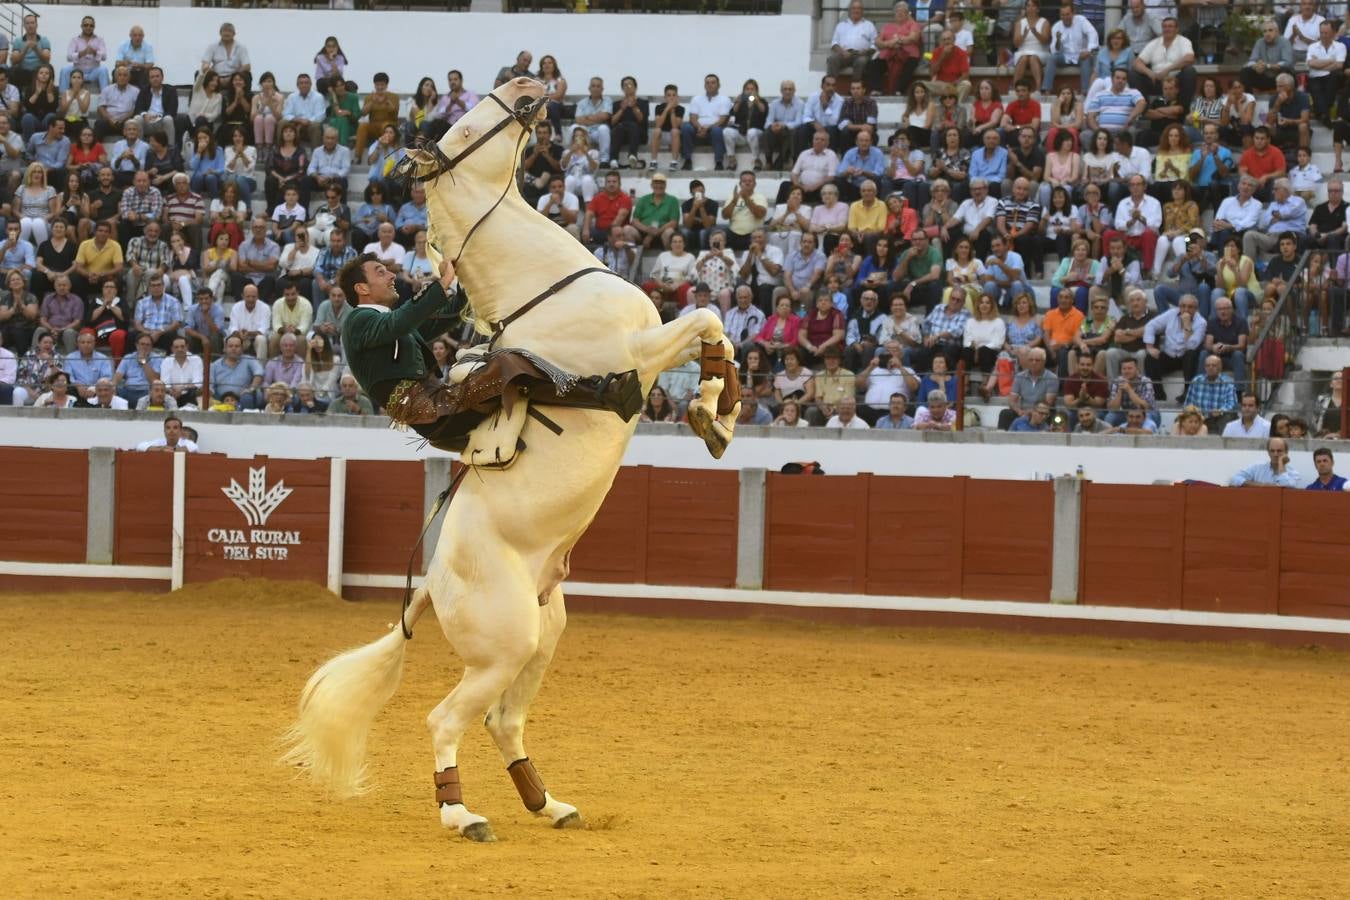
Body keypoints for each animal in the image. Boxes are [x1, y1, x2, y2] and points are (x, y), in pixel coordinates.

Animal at [282, 79, 739, 847]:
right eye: (464, 128)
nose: (527, 85)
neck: (543, 285)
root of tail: (432, 584)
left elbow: (716, 330)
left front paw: (720, 411)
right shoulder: (638, 354)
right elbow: (706, 320)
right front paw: (713, 412)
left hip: (543, 634)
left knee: (503, 719)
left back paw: (548, 803)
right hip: (504, 644)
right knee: (445, 719)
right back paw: (463, 813)